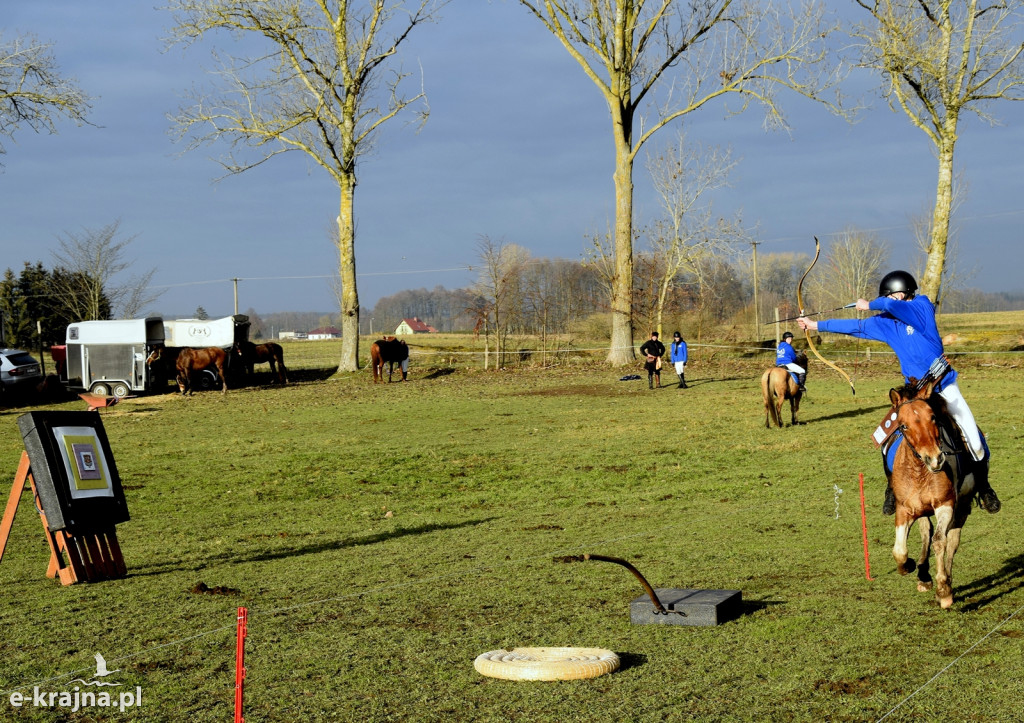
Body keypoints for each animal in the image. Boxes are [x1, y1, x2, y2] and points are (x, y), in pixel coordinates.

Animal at [884, 376, 978, 606]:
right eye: (903, 425)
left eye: (933, 418)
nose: (935, 458)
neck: (920, 472)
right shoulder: (904, 510)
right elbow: (899, 550)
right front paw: (908, 566)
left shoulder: (946, 505)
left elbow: (940, 542)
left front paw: (943, 589)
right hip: (921, 511)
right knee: (926, 532)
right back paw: (924, 576)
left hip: (962, 507)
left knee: (952, 541)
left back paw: (946, 583)